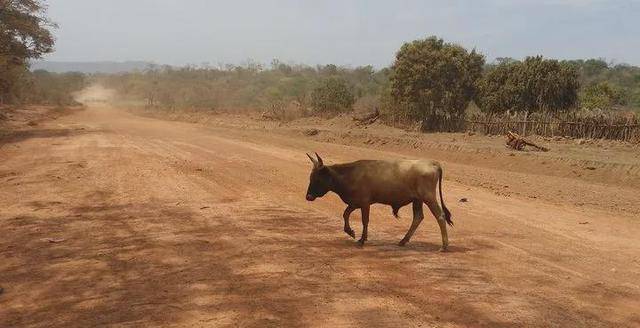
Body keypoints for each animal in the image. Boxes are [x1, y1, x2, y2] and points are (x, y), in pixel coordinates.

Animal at [306, 153, 452, 251]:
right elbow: (345, 214)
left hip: (429, 198)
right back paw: (403, 240)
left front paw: (362, 239)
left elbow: (364, 221)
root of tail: (433, 163)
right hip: (418, 200)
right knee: (418, 217)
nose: (308, 196)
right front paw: (350, 231)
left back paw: (444, 246)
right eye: (311, 177)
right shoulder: (355, 203)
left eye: (317, 179)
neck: (349, 175)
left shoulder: (364, 203)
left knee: (440, 216)